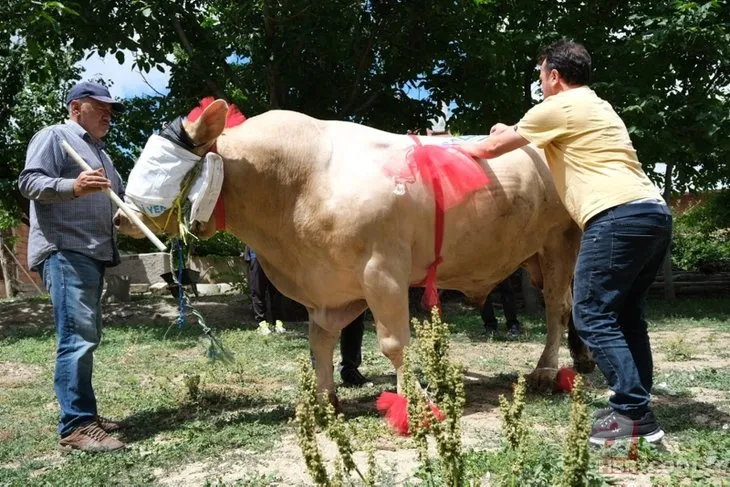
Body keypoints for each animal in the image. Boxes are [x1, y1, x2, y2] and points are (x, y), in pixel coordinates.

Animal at [114, 100, 592, 408]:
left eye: (159, 165)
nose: (120, 219)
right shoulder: (329, 287)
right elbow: (320, 342)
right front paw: (327, 400)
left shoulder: (383, 272)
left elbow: (393, 342)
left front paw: (413, 399)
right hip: (537, 254)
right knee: (570, 305)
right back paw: (581, 360)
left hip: (561, 240)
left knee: (556, 307)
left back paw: (547, 371)